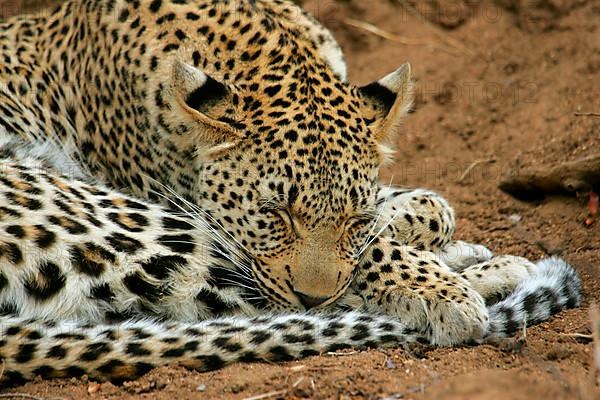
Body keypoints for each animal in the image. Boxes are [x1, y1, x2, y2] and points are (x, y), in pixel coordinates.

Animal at [0, 0, 580, 384]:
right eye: (276, 213)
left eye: (352, 219)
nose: (312, 294)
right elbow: (378, 252)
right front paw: (440, 287)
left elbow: (425, 210)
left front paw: (413, 219)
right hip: (139, 228)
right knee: (243, 304)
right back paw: (491, 276)